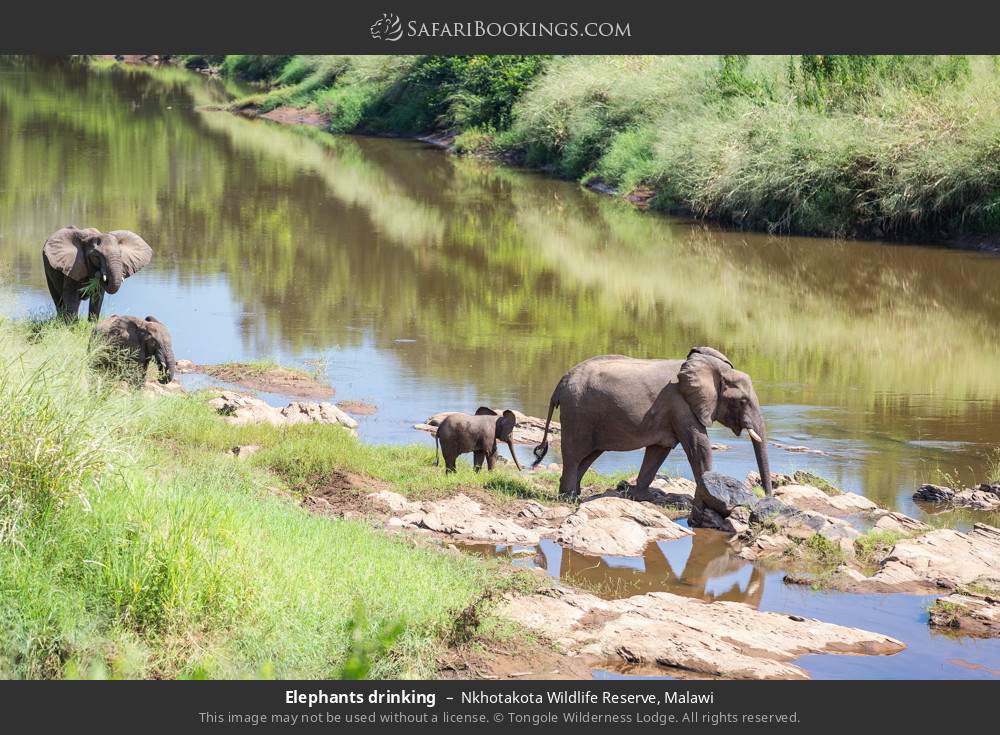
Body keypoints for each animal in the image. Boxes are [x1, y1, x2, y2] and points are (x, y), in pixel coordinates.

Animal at [532, 347, 772, 500]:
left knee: (588, 456)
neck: (714, 370)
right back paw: (569, 498)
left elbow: (659, 450)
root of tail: (559, 386)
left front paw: (645, 497)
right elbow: (699, 446)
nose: (767, 499)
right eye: (742, 401)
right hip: (578, 414)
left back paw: (575, 494)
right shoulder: (680, 403)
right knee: (574, 455)